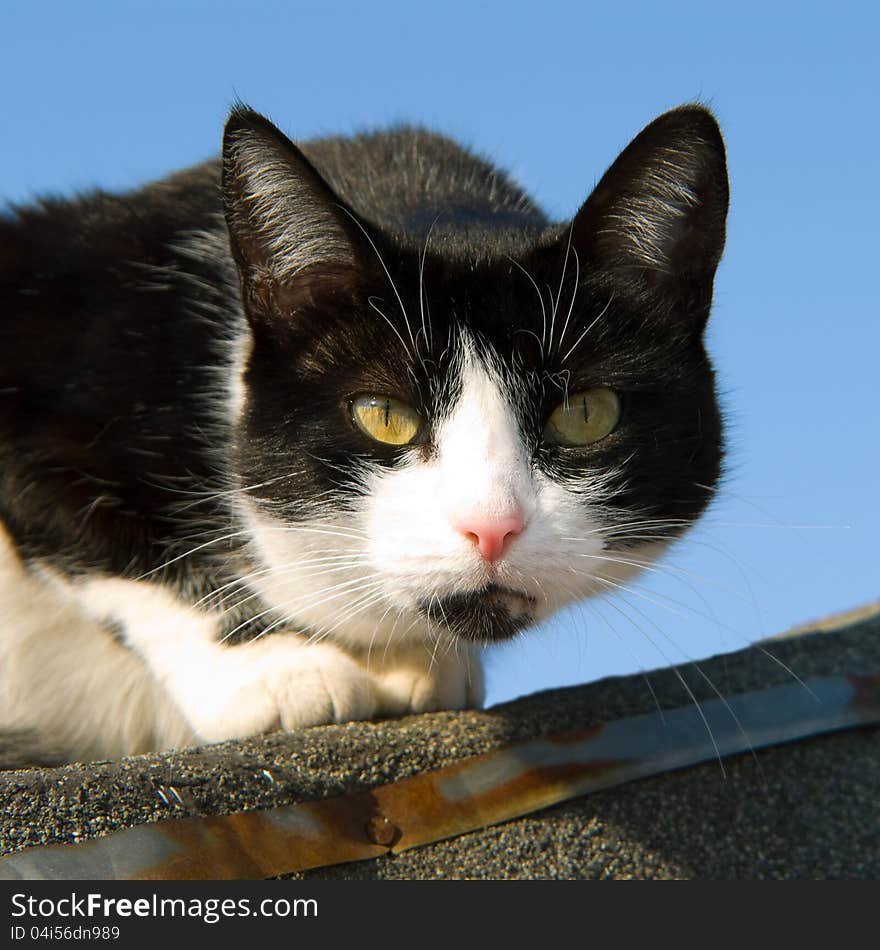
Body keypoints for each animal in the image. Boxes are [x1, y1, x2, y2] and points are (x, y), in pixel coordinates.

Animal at [0, 104, 728, 768]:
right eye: (383, 414)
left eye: (585, 414)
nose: (492, 527)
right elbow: (115, 542)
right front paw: (275, 668)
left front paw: (410, 658)